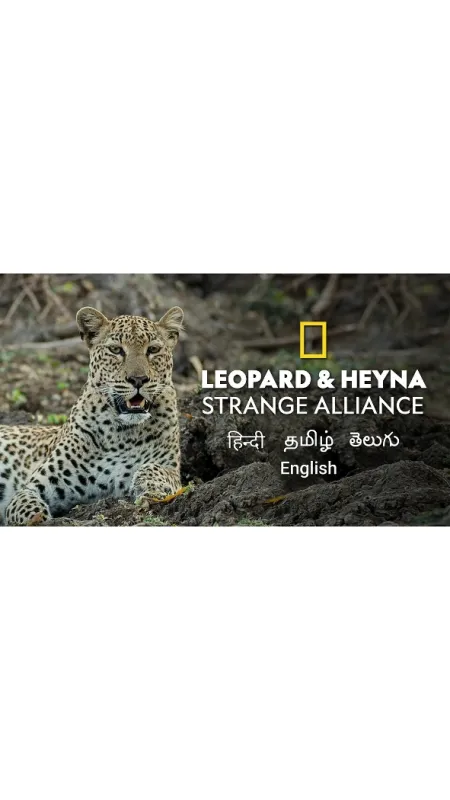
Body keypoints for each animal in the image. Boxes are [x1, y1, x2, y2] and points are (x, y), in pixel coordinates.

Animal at [0, 305, 185, 526]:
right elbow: (26, 507)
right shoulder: (32, 488)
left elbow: (156, 469)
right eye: (116, 350)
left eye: (153, 350)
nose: (138, 379)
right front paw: (42, 520)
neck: (122, 435)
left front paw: (150, 487)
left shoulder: (172, 470)